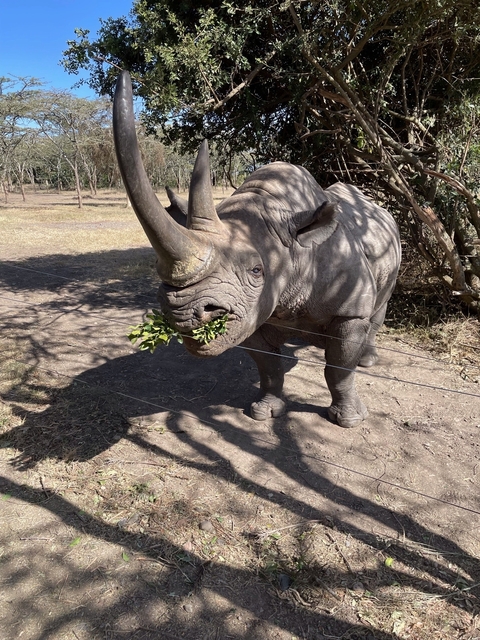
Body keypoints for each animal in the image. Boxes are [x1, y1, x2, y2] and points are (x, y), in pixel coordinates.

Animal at [113, 71, 401, 428]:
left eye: (256, 270)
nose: (181, 312)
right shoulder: (251, 312)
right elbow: (269, 367)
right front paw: (263, 412)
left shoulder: (348, 310)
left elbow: (338, 369)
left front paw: (348, 420)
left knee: (380, 304)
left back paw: (368, 360)